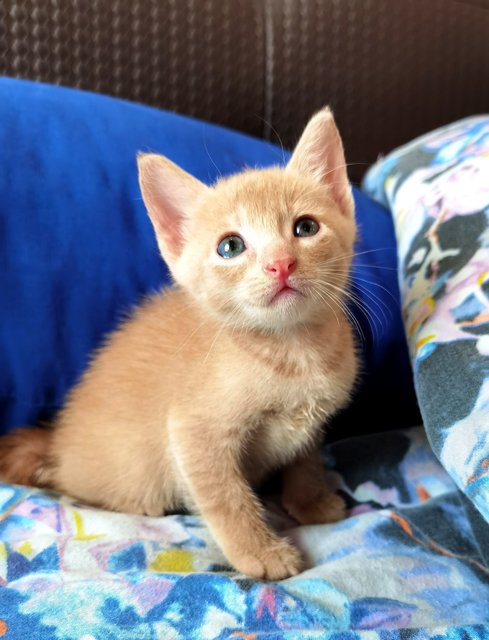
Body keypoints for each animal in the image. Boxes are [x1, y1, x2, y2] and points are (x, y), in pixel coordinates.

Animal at [0, 110, 358, 580]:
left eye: (306, 227)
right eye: (231, 246)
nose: (280, 264)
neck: (292, 351)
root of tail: (55, 444)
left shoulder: (311, 424)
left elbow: (306, 460)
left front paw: (310, 503)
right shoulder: (193, 432)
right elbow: (225, 497)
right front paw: (260, 554)